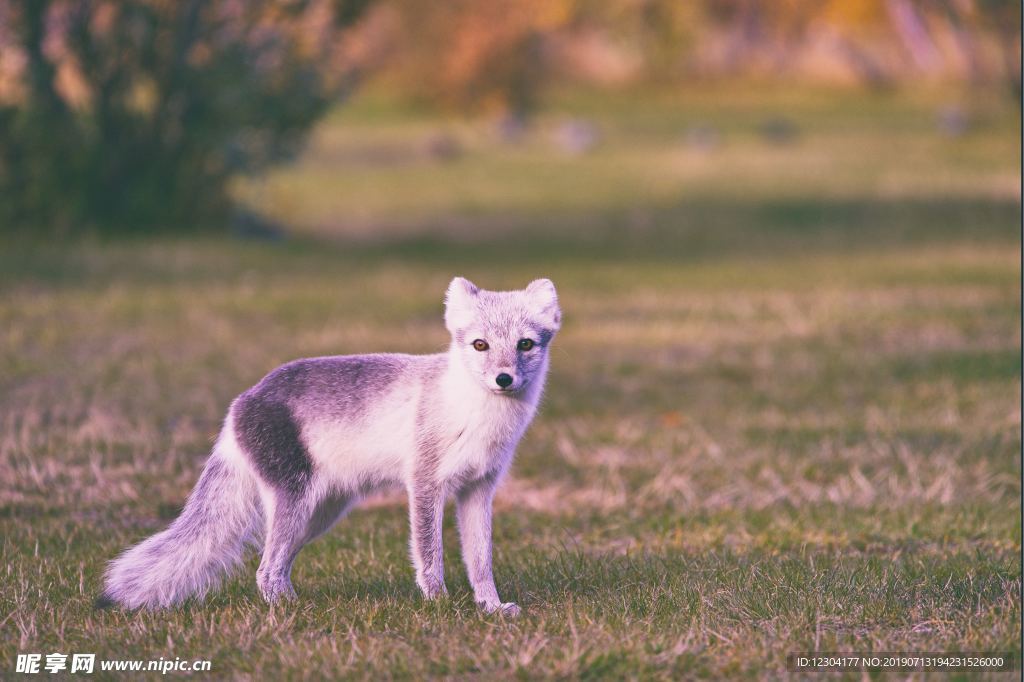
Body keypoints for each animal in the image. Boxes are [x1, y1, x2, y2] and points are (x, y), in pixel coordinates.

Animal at [98, 274, 561, 614]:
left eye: (525, 344)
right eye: (480, 345)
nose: (504, 379)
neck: (475, 415)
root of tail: (238, 404)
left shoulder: (479, 489)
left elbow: (481, 561)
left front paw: (491, 608)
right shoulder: (425, 484)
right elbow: (430, 556)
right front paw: (441, 606)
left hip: (320, 513)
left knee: (274, 565)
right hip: (296, 502)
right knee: (265, 569)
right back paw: (289, 610)